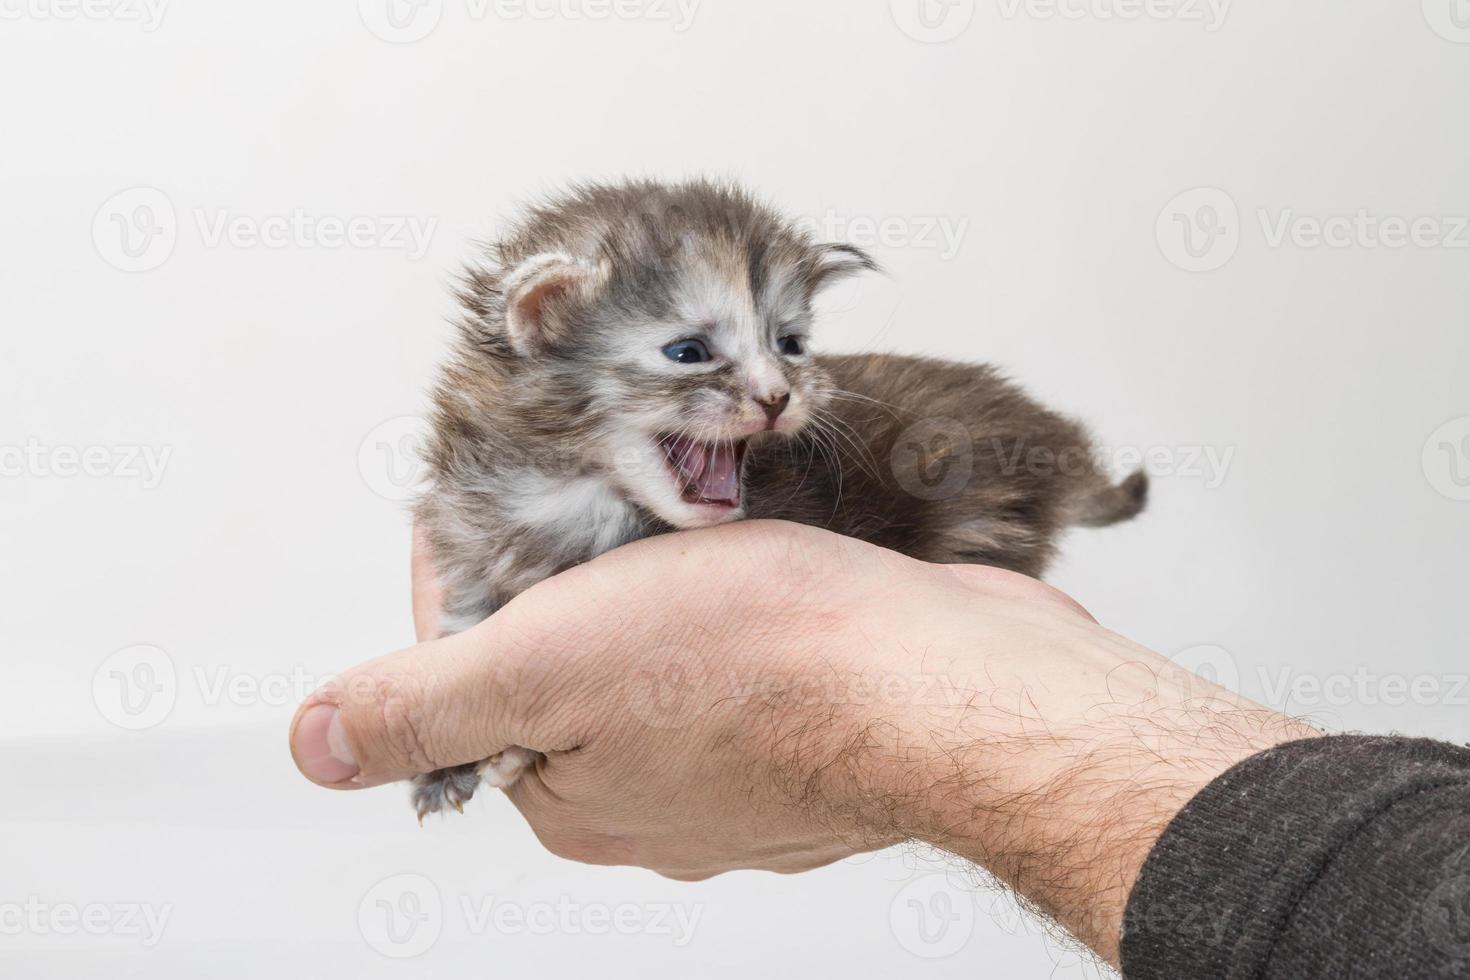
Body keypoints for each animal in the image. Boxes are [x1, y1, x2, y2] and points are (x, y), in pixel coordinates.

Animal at [414, 178, 1146, 822]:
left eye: (788, 344)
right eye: (689, 351)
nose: (777, 397)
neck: (569, 491)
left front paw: (511, 752)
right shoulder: (470, 546)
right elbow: (467, 632)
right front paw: (444, 768)